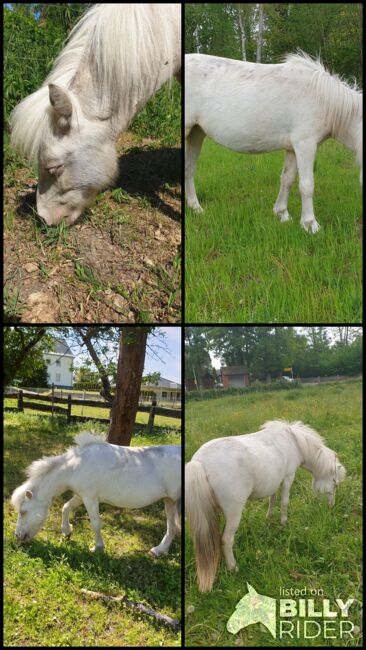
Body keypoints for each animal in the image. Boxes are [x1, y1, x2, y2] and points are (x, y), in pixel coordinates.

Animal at [10, 432, 182, 556]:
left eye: (23, 511)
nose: (18, 536)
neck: (77, 465)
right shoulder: (81, 496)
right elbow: (65, 507)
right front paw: (66, 531)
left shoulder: (90, 499)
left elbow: (95, 523)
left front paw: (97, 547)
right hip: (170, 501)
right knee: (172, 527)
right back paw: (159, 551)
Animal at [184, 52, 362, 232]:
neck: (323, 100)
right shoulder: (305, 145)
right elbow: (307, 185)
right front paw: (310, 224)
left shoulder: (292, 148)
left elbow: (287, 179)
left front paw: (282, 214)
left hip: (196, 133)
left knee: (189, 169)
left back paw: (195, 208)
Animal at [186, 418, 346, 588]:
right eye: (335, 483)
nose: (331, 506)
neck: (294, 441)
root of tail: (199, 462)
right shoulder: (288, 477)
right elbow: (284, 502)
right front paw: (283, 522)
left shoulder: (275, 482)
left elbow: (272, 500)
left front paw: (268, 519)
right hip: (233, 512)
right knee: (226, 539)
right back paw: (233, 568)